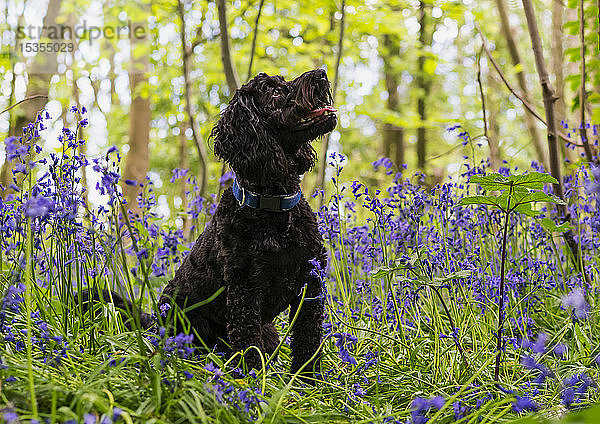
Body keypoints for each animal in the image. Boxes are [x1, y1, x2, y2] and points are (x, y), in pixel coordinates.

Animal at [83, 68, 338, 374]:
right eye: (274, 92)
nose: (321, 74)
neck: (274, 208)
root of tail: (154, 322)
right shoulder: (244, 291)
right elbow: (248, 344)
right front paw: (251, 380)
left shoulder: (311, 284)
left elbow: (307, 342)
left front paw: (307, 381)